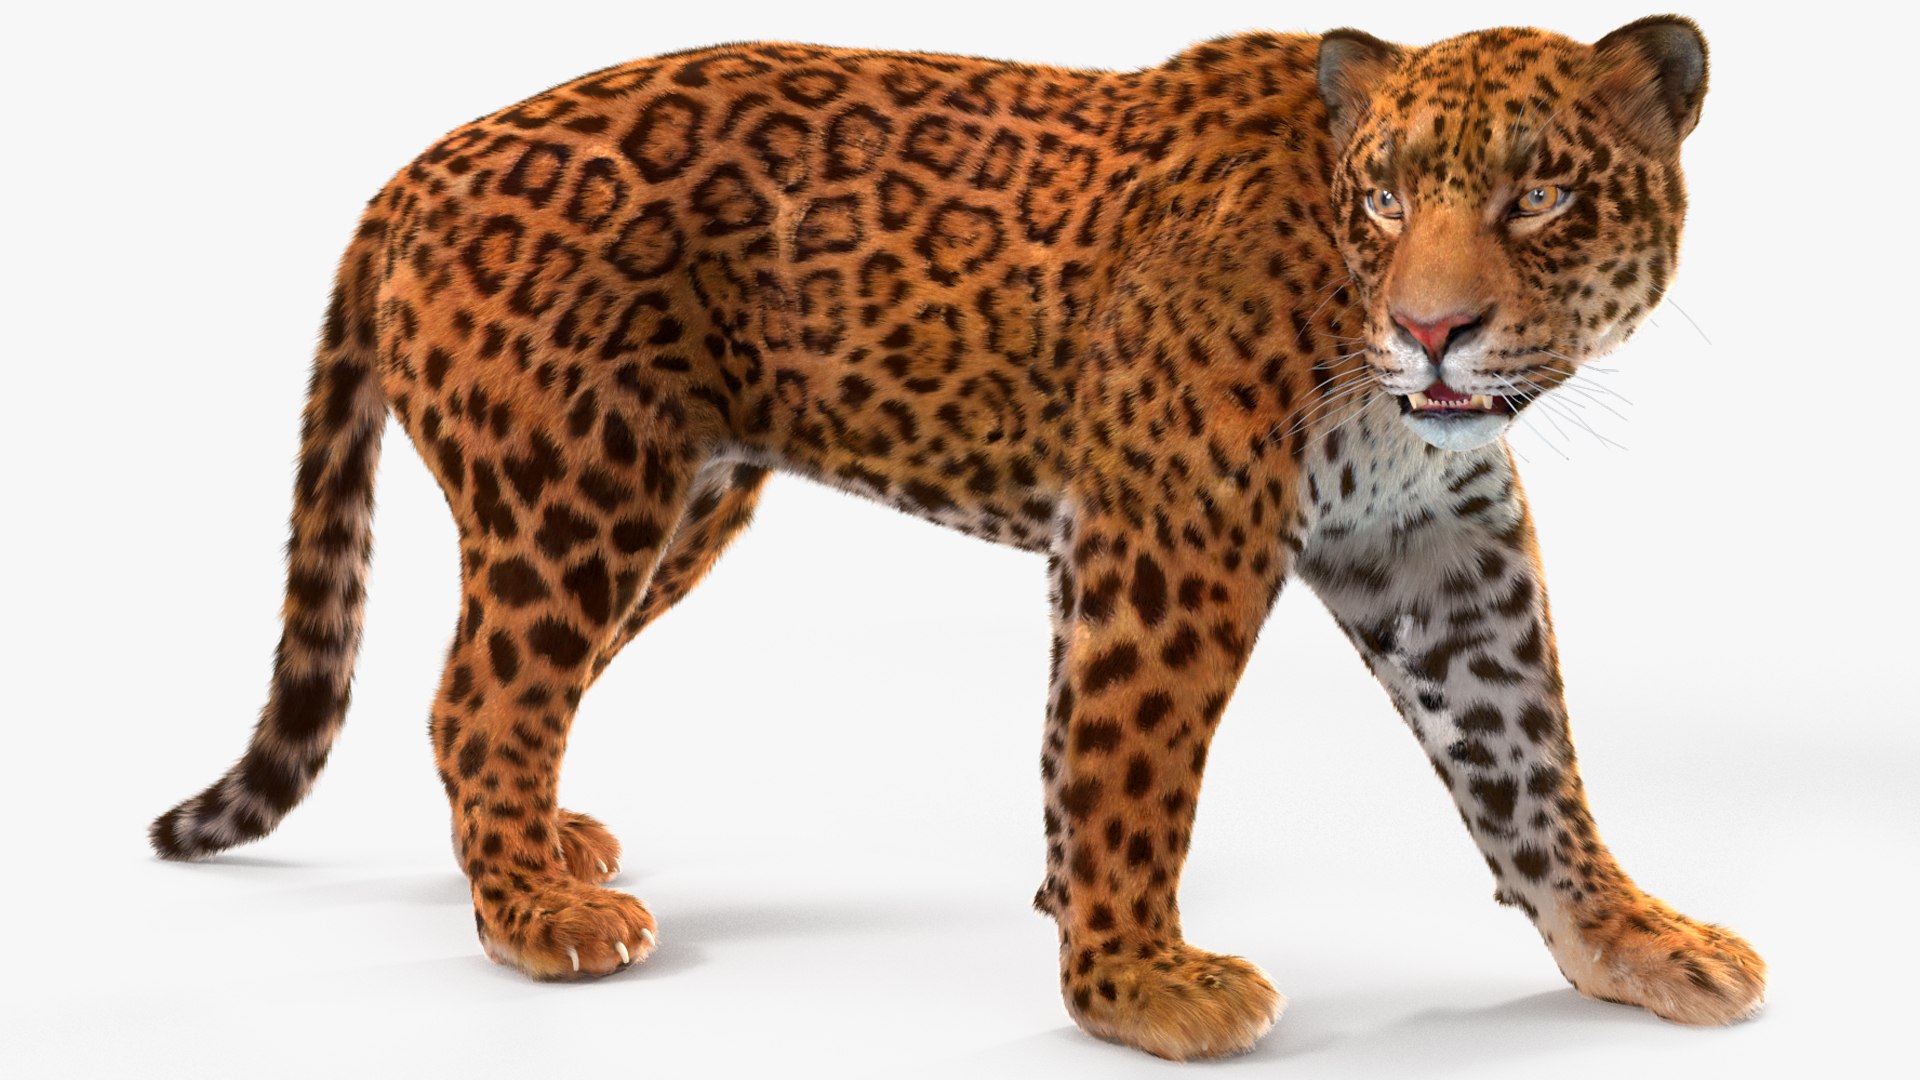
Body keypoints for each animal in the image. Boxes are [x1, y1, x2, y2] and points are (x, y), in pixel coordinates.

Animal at [149, 15, 1763, 1060]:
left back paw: (545, 845)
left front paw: (1633, 943)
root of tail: (405, 179)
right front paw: (1136, 983)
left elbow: (1526, 758)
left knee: (491, 696)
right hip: (580, 492)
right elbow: (1125, 765)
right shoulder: (1169, 534)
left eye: (1539, 193)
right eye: (1382, 197)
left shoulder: (1434, 547)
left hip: (685, 502)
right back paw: (539, 915)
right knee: (480, 694)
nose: (1435, 333)